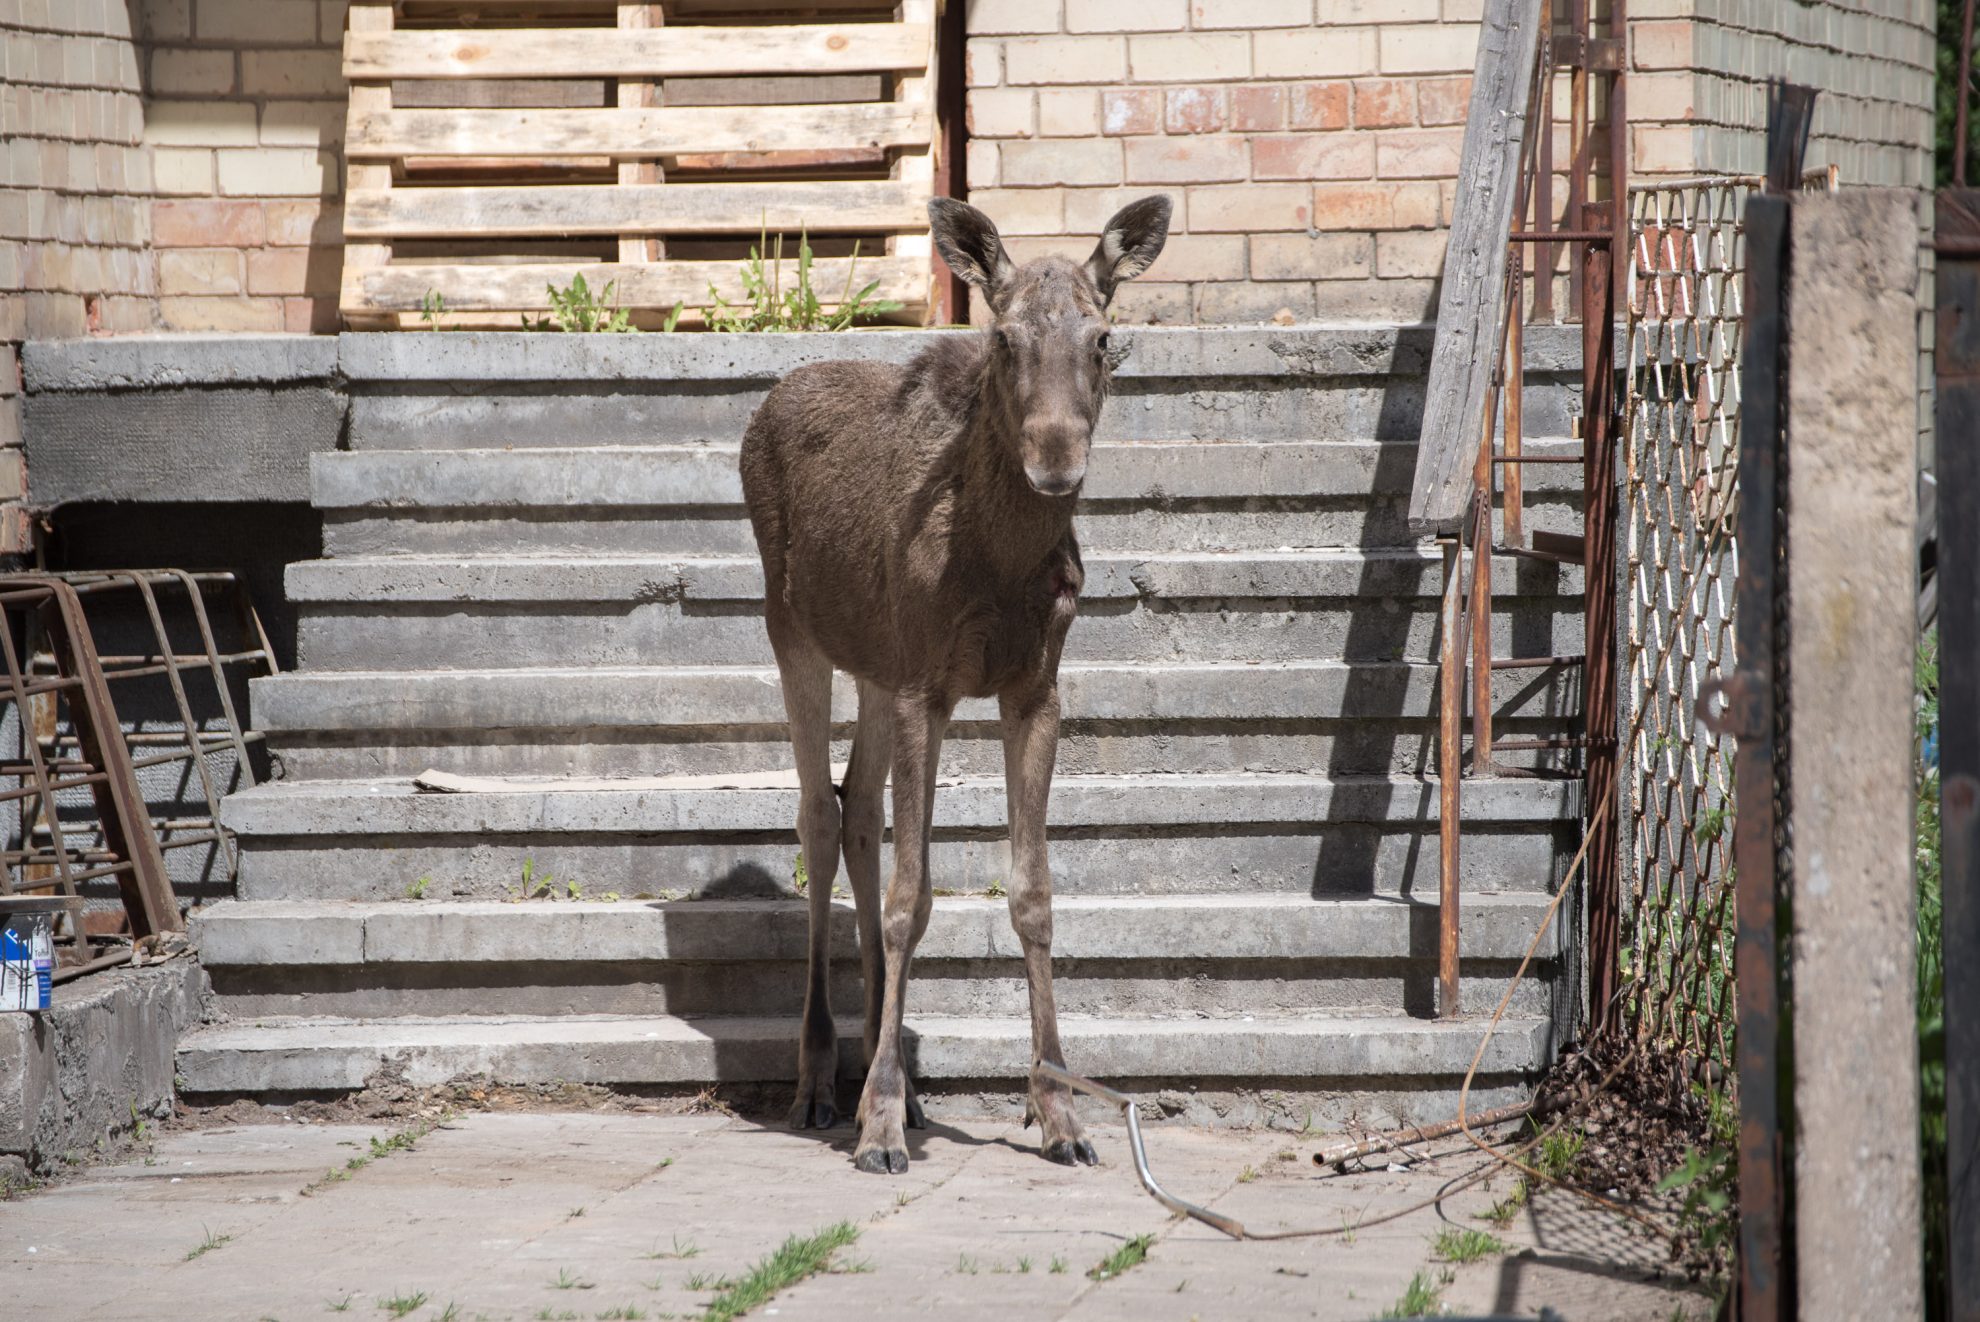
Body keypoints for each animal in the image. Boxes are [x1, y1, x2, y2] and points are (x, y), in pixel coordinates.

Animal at [744, 193, 1172, 1163]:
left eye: (1101, 337)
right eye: (1003, 337)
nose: (1056, 460)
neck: (1002, 561)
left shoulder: (1033, 690)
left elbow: (1033, 894)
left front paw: (1057, 1111)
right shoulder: (923, 689)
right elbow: (915, 898)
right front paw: (880, 1120)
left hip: (872, 660)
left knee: (859, 806)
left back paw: (885, 1072)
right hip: (793, 633)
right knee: (817, 815)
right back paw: (822, 1083)